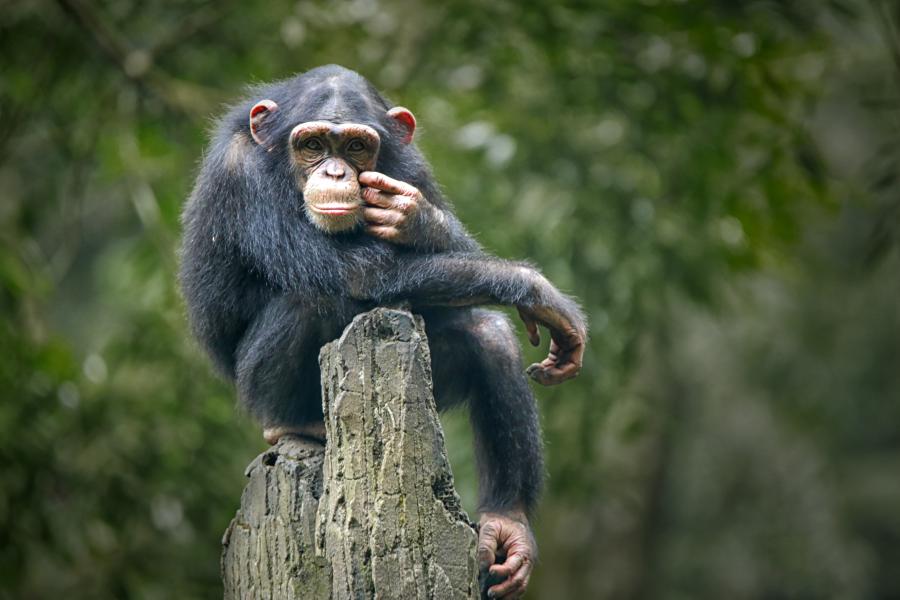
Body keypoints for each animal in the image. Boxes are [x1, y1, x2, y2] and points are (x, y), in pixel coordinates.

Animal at [179, 63, 588, 596]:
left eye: (356, 147)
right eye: (312, 145)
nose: (335, 172)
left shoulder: (411, 166)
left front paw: (419, 219)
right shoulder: (242, 176)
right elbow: (359, 274)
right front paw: (538, 290)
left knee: (488, 337)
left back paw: (508, 522)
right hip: (256, 393)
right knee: (310, 297)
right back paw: (294, 423)